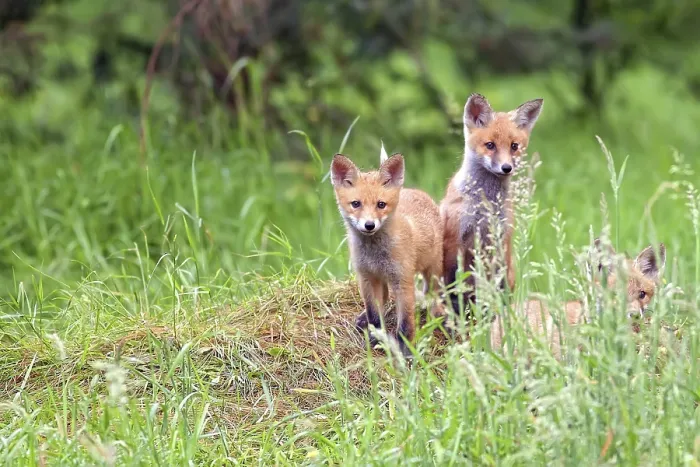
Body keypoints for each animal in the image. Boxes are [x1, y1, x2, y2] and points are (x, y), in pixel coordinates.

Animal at [330, 148, 444, 358]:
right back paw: (363, 319)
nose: (369, 225)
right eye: (356, 204)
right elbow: (375, 315)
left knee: (434, 293)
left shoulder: (403, 280)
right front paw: (376, 338)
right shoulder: (367, 277)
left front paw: (406, 350)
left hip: (432, 269)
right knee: (383, 298)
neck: (375, 255)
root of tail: (415, 191)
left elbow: (406, 323)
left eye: (381, 204)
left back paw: (436, 312)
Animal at [441, 93, 543, 313]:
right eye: (490, 145)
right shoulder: (455, 239)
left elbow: (498, 287)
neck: (485, 203)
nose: (506, 168)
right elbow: (454, 284)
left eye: (514, 146)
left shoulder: (500, 239)